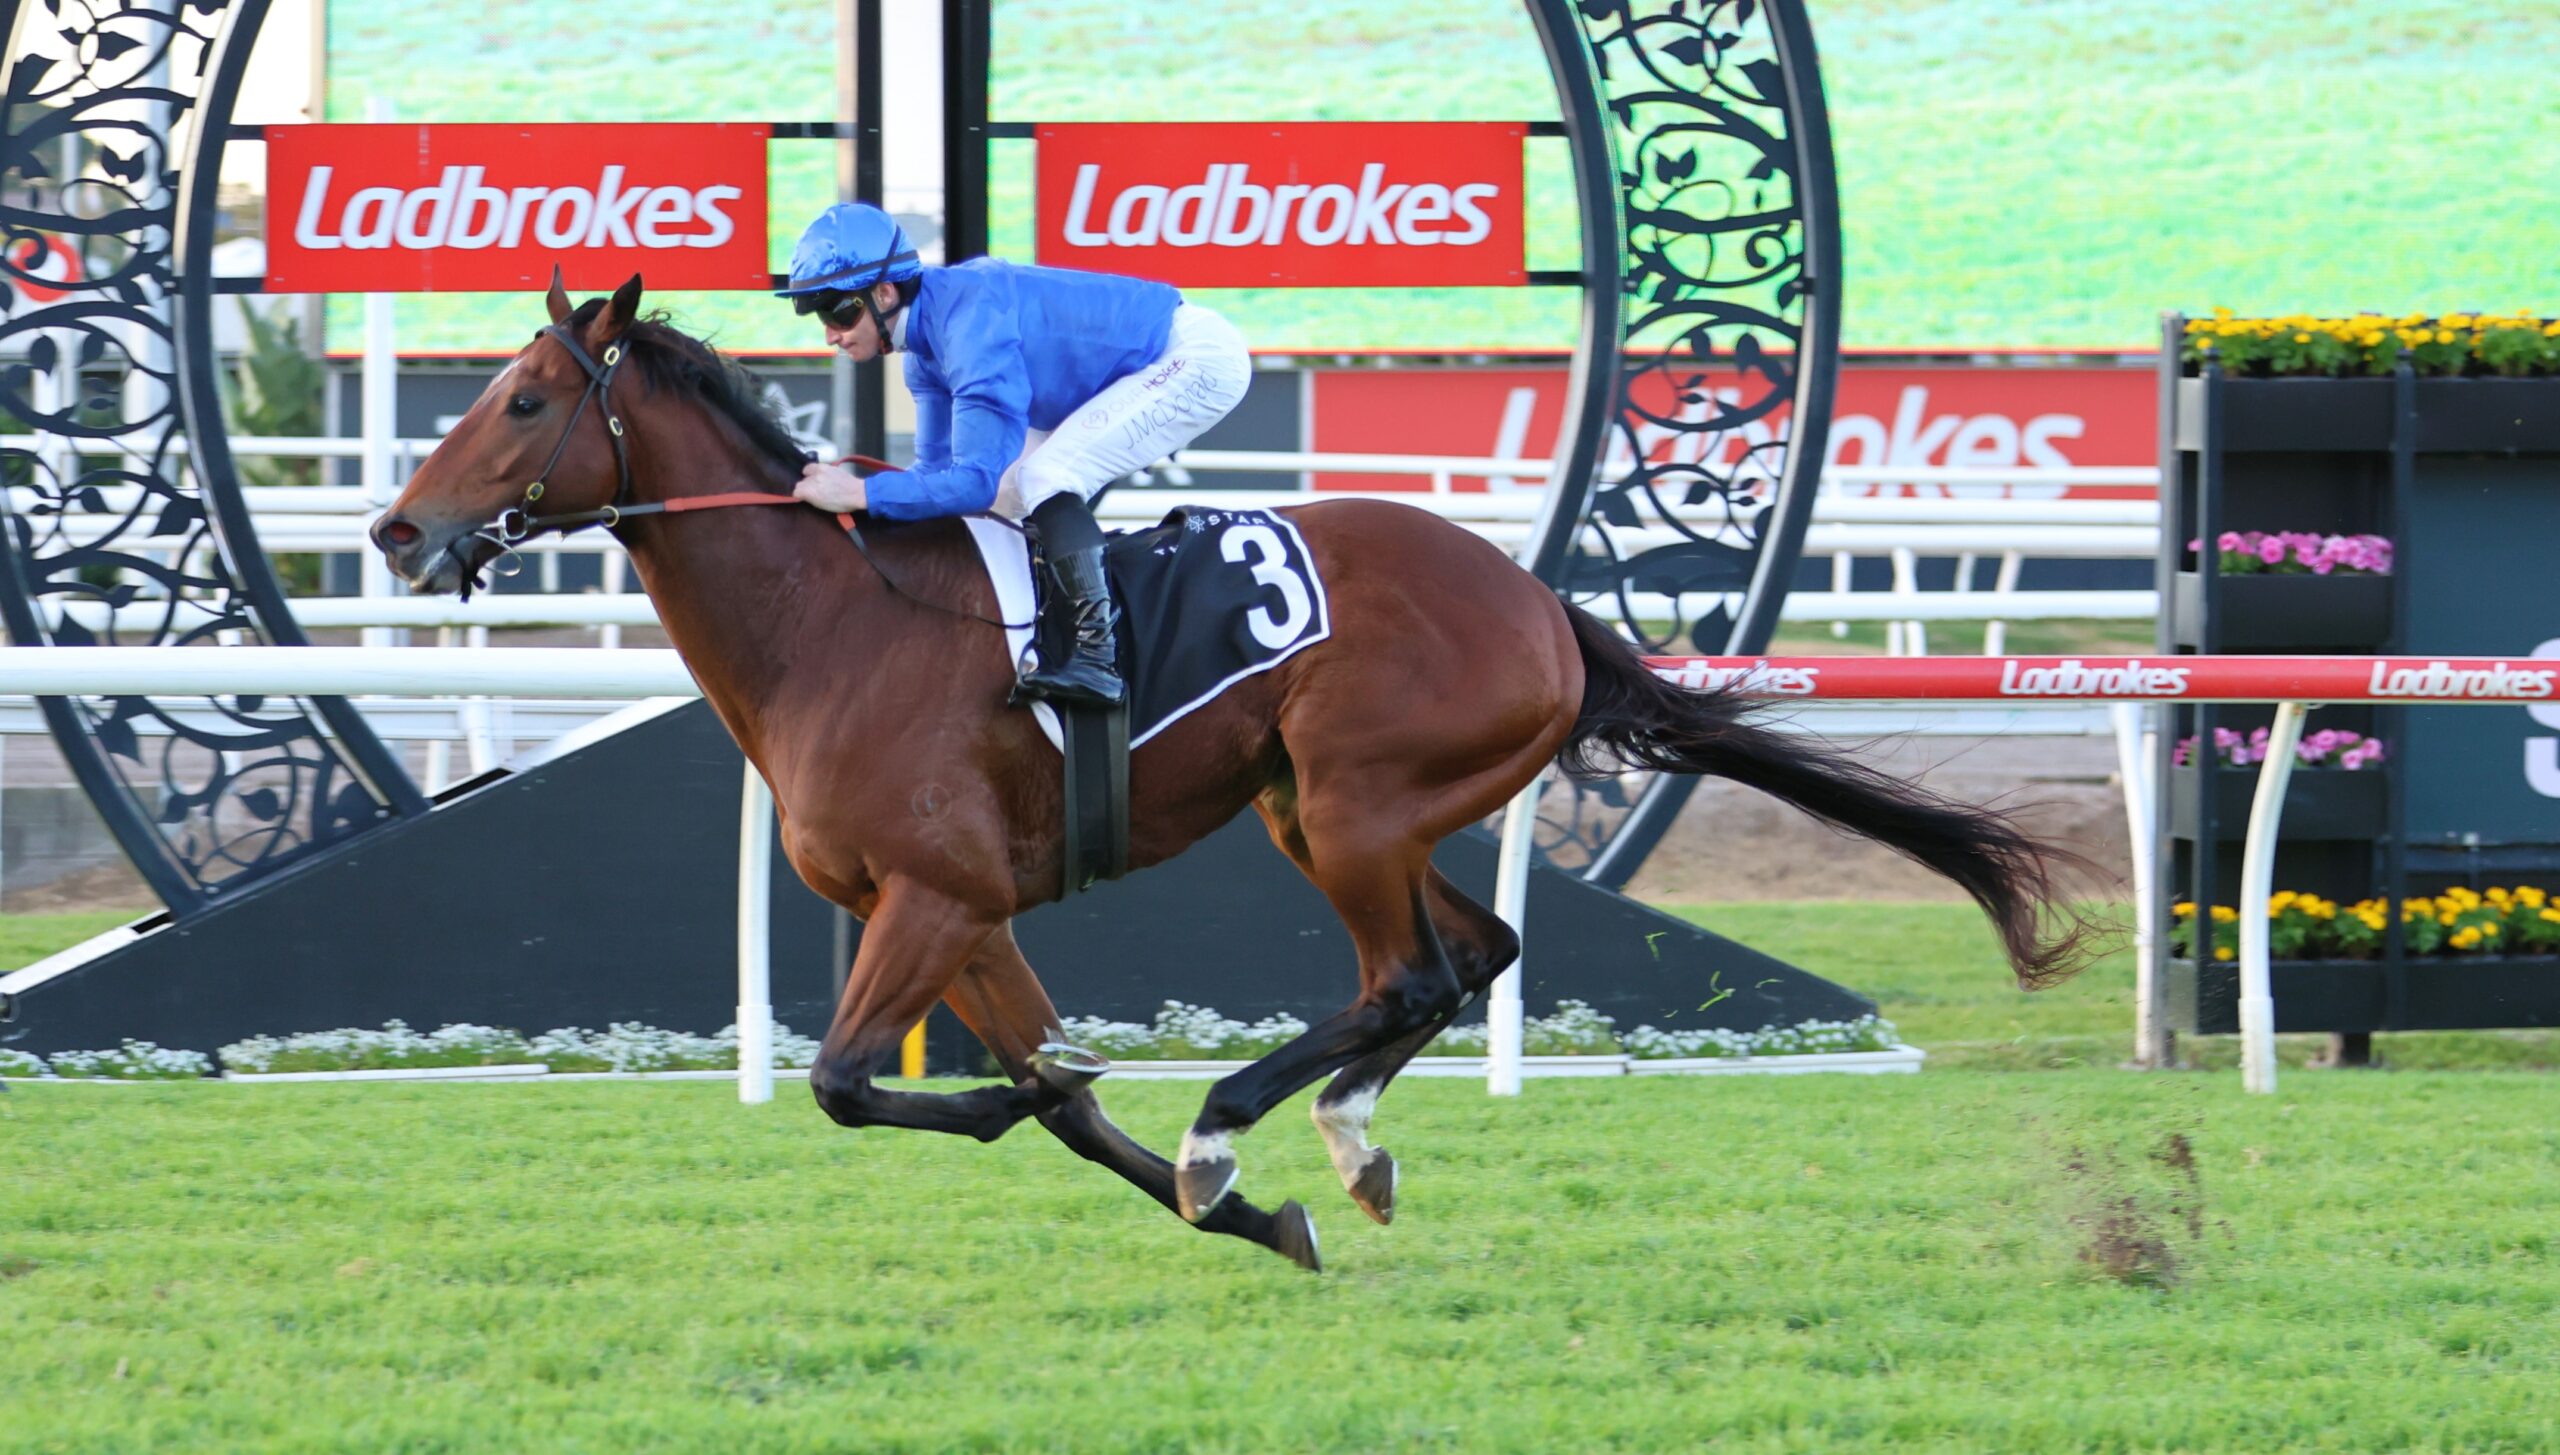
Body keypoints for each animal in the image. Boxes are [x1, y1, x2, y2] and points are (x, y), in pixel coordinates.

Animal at [371, 275, 2092, 1271]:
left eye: (524, 397)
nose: (394, 529)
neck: (833, 624)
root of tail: (1540, 601)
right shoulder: (969, 915)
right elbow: (1058, 1103)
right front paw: (1251, 1210)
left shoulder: (933, 894)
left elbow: (852, 1081)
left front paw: (1109, 1135)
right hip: (1321, 810)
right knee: (1476, 949)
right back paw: (1343, 1138)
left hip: (1352, 797)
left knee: (1411, 971)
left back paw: (1239, 1117)